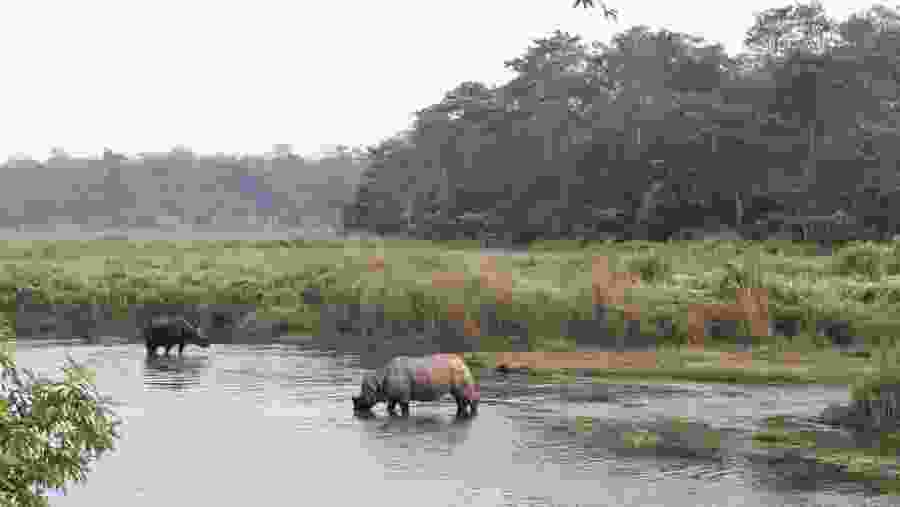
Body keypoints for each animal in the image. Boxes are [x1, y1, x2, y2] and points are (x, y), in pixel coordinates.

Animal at [352, 354, 480, 417]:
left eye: (362, 398)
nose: (355, 409)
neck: (377, 382)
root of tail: (462, 362)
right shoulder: (392, 395)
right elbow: (390, 408)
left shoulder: (403, 397)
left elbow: (404, 409)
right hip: (458, 370)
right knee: (459, 397)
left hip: (459, 371)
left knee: (463, 394)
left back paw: (473, 413)